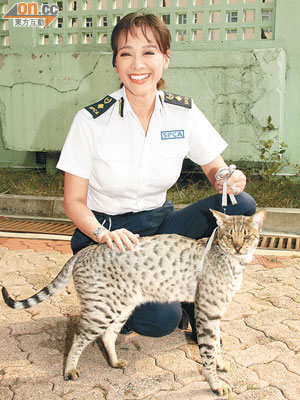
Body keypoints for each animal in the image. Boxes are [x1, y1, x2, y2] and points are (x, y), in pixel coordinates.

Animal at [1, 208, 264, 396]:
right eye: (229, 236)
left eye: (247, 236)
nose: (238, 247)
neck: (231, 262)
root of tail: (85, 251)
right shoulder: (207, 310)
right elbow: (208, 350)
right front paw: (215, 383)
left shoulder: (216, 312)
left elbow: (217, 344)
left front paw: (220, 365)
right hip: (103, 309)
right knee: (78, 336)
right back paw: (69, 369)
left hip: (122, 306)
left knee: (107, 335)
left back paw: (115, 362)